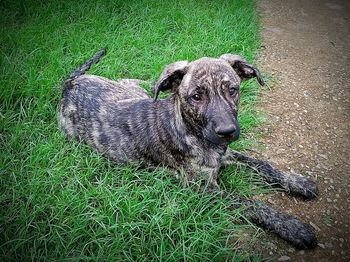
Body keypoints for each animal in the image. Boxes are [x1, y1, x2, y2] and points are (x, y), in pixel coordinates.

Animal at [59, 48, 318, 248]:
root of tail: (69, 84)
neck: (190, 129)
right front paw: (292, 227)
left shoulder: (226, 154)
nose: (227, 131)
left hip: (131, 90)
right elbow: (249, 202)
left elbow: (262, 164)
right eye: (196, 97)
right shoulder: (203, 189)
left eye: (232, 90)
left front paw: (297, 182)